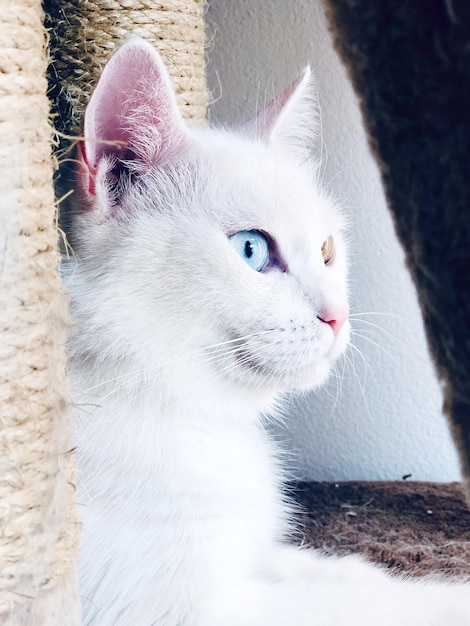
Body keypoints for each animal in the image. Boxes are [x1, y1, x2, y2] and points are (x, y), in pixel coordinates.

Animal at [65, 36, 470, 620]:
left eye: (326, 249)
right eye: (251, 250)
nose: (338, 315)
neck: (198, 413)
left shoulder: (259, 558)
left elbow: (351, 574)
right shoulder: (187, 611)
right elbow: (369, 607)